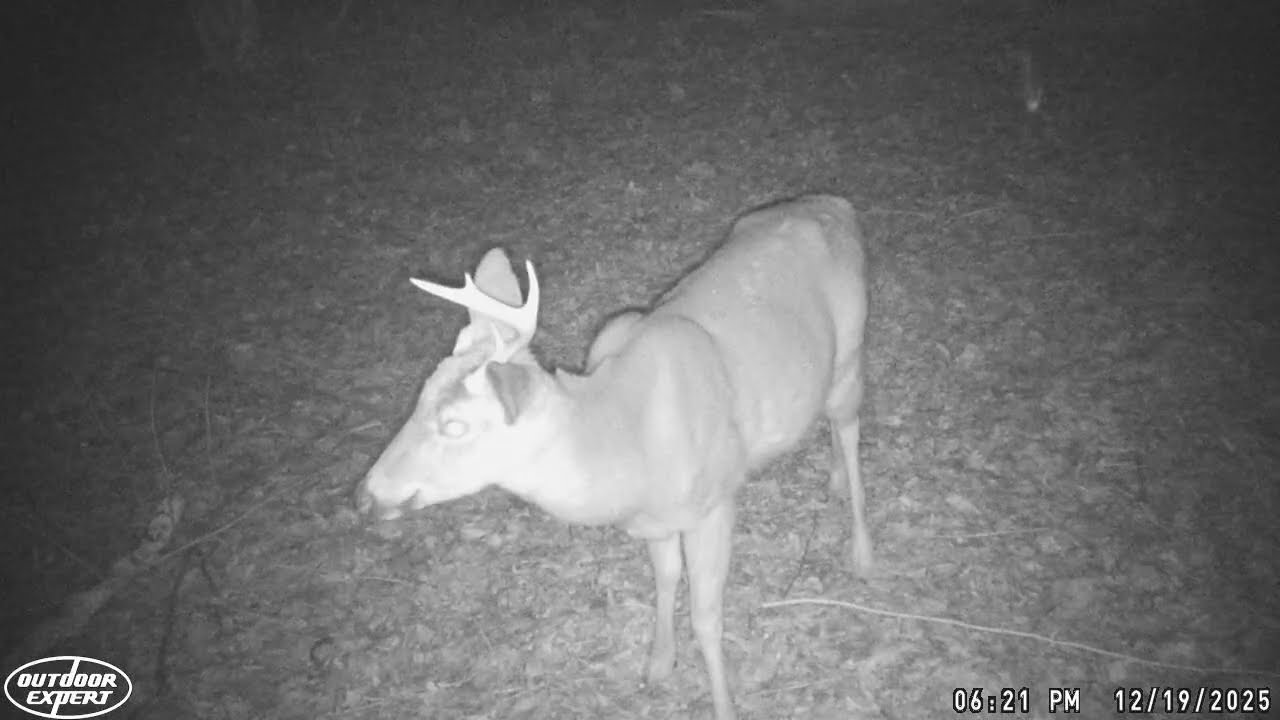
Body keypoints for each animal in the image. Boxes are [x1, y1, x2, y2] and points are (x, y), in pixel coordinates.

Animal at [357, 194, 871, 720]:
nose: (366, 494)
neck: (628, 448)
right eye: (420, 396)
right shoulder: (654, 522)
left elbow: (707, 618)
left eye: (455, 425)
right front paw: (659, 664)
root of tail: (835, 204)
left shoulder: (715, 501)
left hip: (851, 350)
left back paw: (863, 551)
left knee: (851, 431)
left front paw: (723, 704)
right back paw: (832, 481)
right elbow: (666, 578)